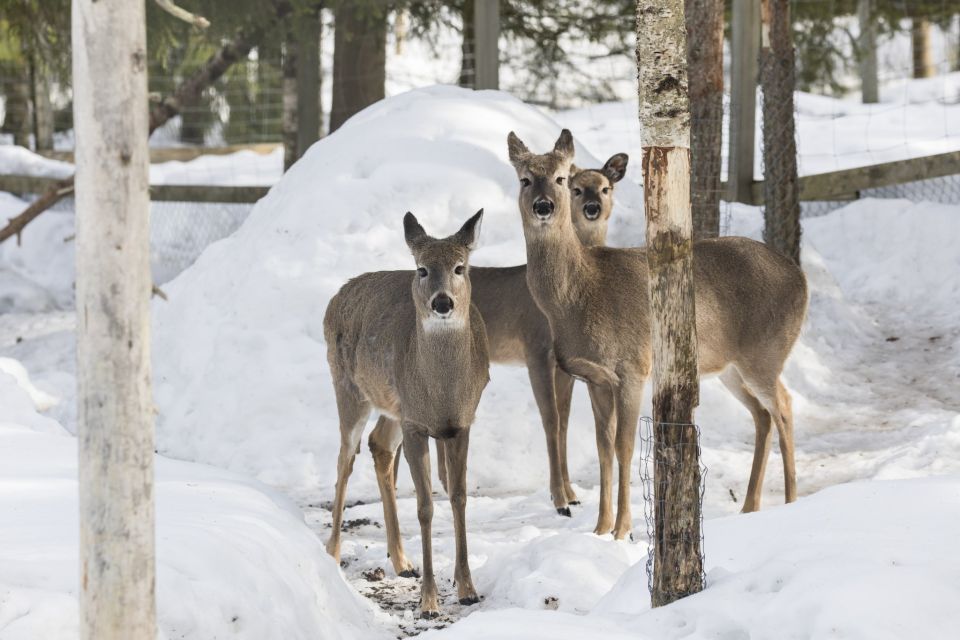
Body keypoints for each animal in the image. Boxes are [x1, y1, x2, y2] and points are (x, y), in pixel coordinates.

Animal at [324, 209, 488, 616]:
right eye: (422, 269)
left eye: (460, 267)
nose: (442, 303)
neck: (442, 391)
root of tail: (338, 294)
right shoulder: (416, 423)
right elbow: (426, 506)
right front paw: (429, 601)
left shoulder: (461, 424)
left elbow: (459, 497)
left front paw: (467, 587)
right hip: (348, 388)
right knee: (344, 458)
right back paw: (332, 554)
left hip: (392, 407)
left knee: (379, 445)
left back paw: (402, 561)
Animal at [506, 130, 808, 540]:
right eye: (525, 179)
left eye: (560, 178)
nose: (543, 206)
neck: (579, 296)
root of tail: (801, 277)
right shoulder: (594, 377)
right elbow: (603, 449)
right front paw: (600, 529)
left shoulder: (632, 367)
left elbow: (625, 447)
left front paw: (622, 530)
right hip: (729, 366)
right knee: (763, 414)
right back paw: (749, 506)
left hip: (766, 352)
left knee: (785, 406)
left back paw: (791, 501)